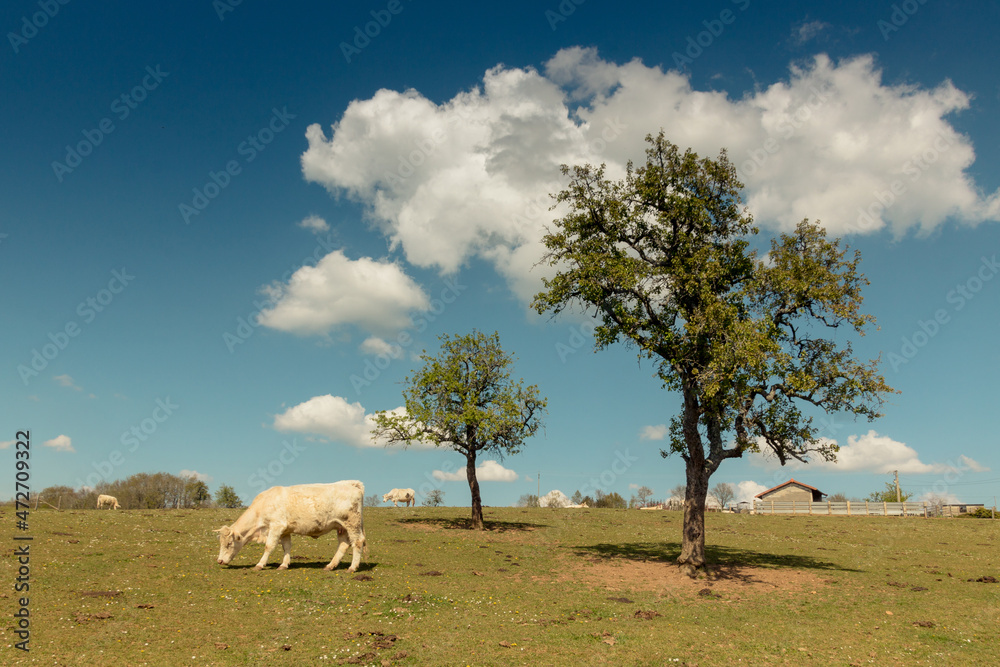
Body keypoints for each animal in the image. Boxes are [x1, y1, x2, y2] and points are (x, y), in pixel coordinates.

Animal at [214, 481, 367, 572]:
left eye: (229, 544)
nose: (219, 561)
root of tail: (351, 484)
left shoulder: (276, 526)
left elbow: (269, 546)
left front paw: (260, 564)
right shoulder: (285, 531)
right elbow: (286, 546)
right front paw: (284, 564)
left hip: (352, 524)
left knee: (358, 542)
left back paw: (352, 567)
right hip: (341, 527)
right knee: (343, 544)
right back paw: (330, 565)